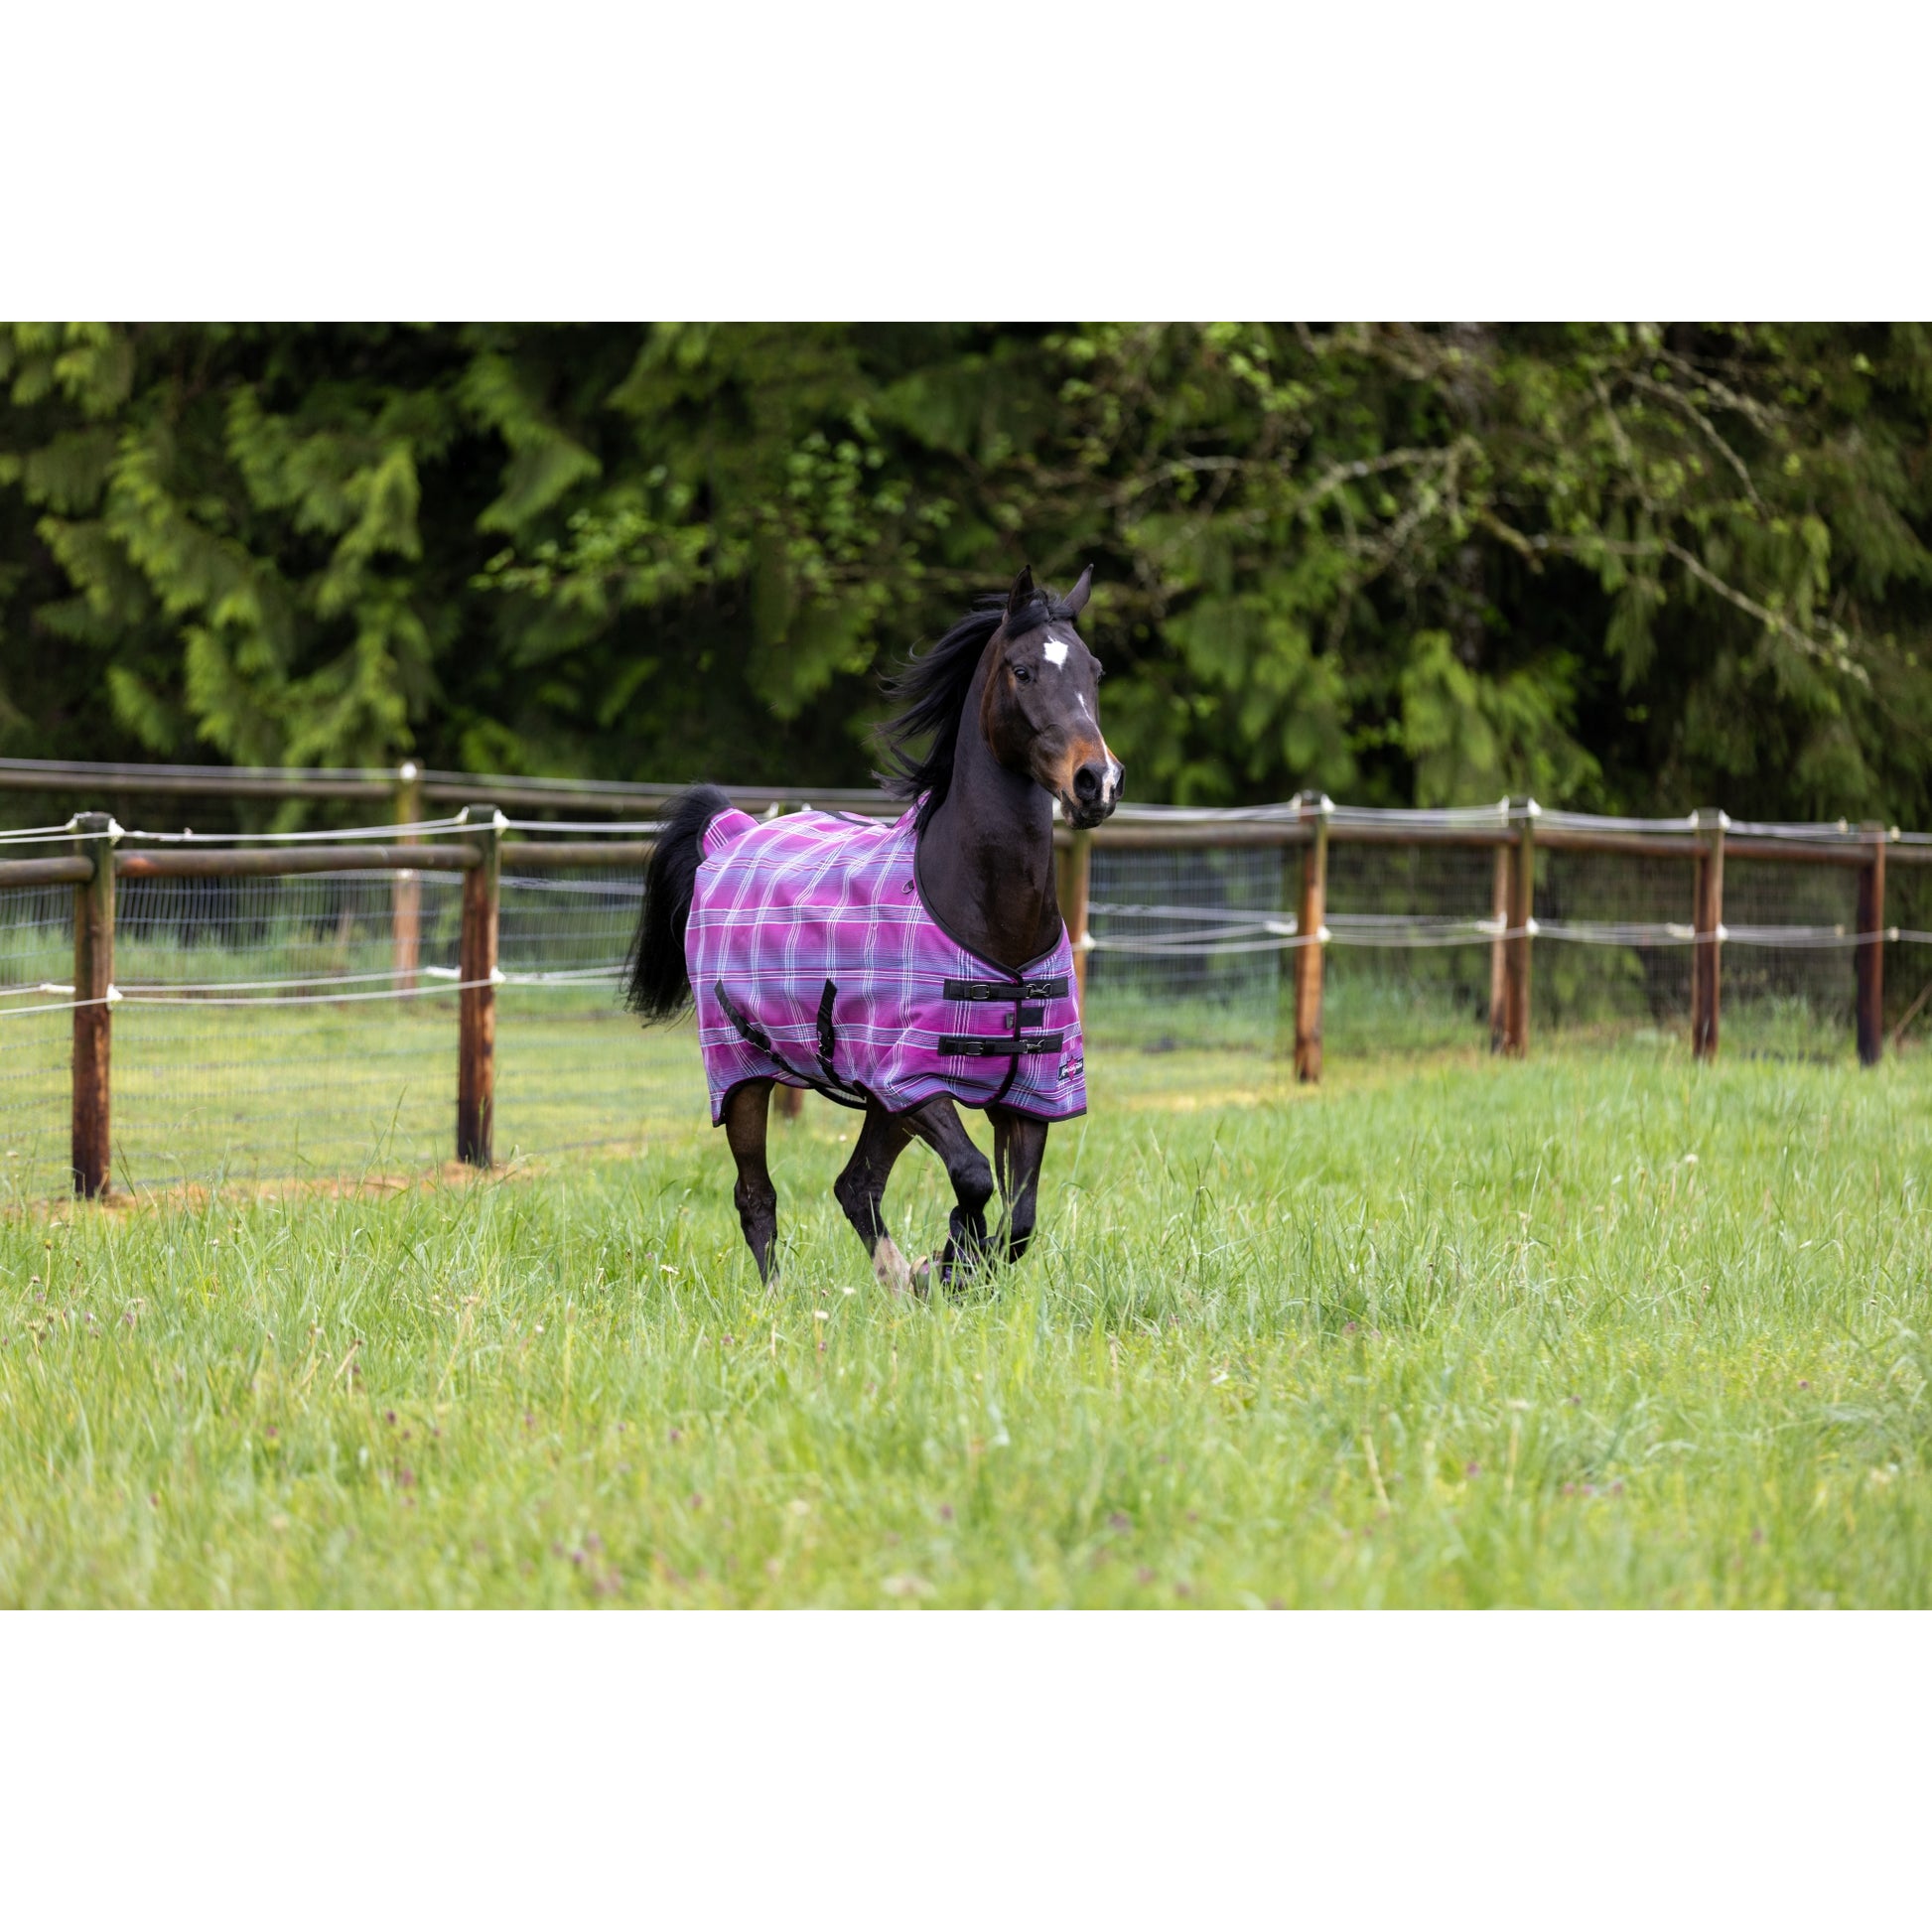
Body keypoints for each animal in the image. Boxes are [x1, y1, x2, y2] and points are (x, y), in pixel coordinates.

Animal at [623, 566, 1124, 1292]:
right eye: (1024, 670)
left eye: (1094, 670)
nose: (1097, 782)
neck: (991, 926)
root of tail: (728, 832)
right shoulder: (913, 1084)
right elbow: (973, 1179)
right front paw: (946, 1260)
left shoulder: (1032, 1093)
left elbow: (1019, 1220)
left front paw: (946, 1268)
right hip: (743, 1073)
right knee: (757, 1195)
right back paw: (780, 1299)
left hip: (875, 1105)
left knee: (854, 1186)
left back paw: (895, 1281)